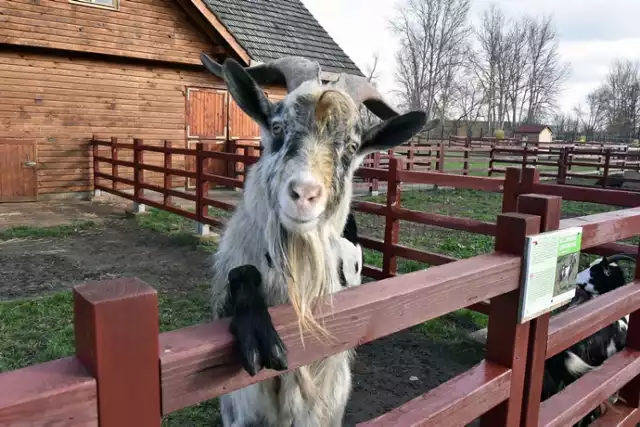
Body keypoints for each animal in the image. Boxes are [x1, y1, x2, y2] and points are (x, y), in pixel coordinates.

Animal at [202, 54, 438, 427]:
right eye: (277, 127)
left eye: (353, 147)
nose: (304, 193)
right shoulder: (240, 413)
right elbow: (242, 275)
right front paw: (257, 333)